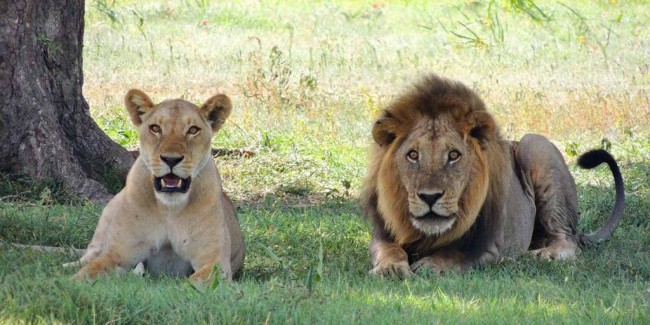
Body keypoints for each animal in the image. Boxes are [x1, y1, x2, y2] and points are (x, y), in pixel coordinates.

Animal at [70, 90, 243, 282]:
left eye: (193, 130)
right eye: (155, 128)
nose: (171, 159)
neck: (169, 209)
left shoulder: (215, 262)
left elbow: (193, 282)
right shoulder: (116, 254)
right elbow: (86, 273)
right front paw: (66, 282)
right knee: (88, 255)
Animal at [360, 74, 624, 278]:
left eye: (454, 155)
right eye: (413, 155)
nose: (429, 197)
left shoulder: (490, 246)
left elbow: (456, 254)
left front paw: (430, 265)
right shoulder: (382, 235)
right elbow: (389, 250)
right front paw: (391, 268)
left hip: (535, 145)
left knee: (568, 241)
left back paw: (543, 255)